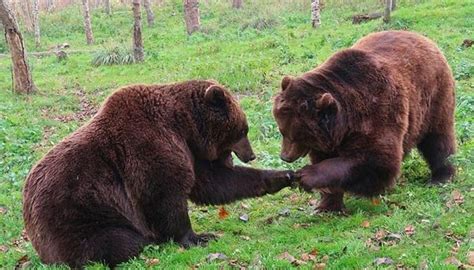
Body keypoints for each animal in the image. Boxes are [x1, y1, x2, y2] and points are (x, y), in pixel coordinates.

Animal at [25, 79, 296, 266]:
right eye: (243, 130)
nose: (251, 155)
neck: (184, 125)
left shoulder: (189, 151)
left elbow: (214, 183)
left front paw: (283, 176)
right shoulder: (150, 147)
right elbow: (164, 195)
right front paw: (198, 237)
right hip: (80, 216)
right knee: (118, 243)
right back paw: (146, 241)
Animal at [274, 30, 456, 212]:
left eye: (294, 136)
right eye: (282, 131)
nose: (285, 156)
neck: (345, 123)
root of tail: (422, 37)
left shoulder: (376, 113)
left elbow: (376, 161)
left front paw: (307, 175)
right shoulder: (329, 139)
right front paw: (328, 206)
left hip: (433, 98)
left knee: (437, 139)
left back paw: (441, 176)